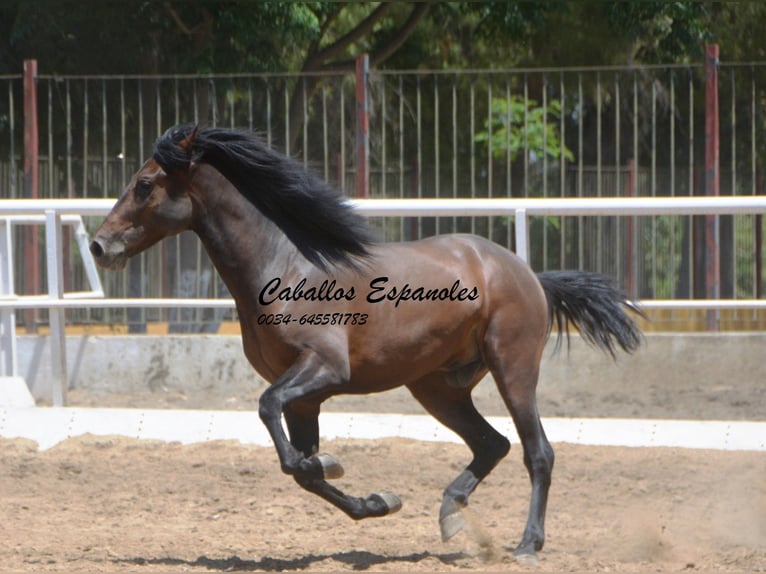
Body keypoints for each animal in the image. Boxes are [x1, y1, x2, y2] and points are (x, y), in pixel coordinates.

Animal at [88, 125, 640, 564]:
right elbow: (299, 468)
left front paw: (335, 466)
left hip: (513, 369)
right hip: (436, 388)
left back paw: (527, 544)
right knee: (492, 444)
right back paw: (451, 513)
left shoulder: (324, 370)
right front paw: (376, 498)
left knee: (536, 452)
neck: (285, 267)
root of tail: (527, 273)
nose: (99, 245)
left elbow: (271, 416)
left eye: (143, 184)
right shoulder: (304, 399)